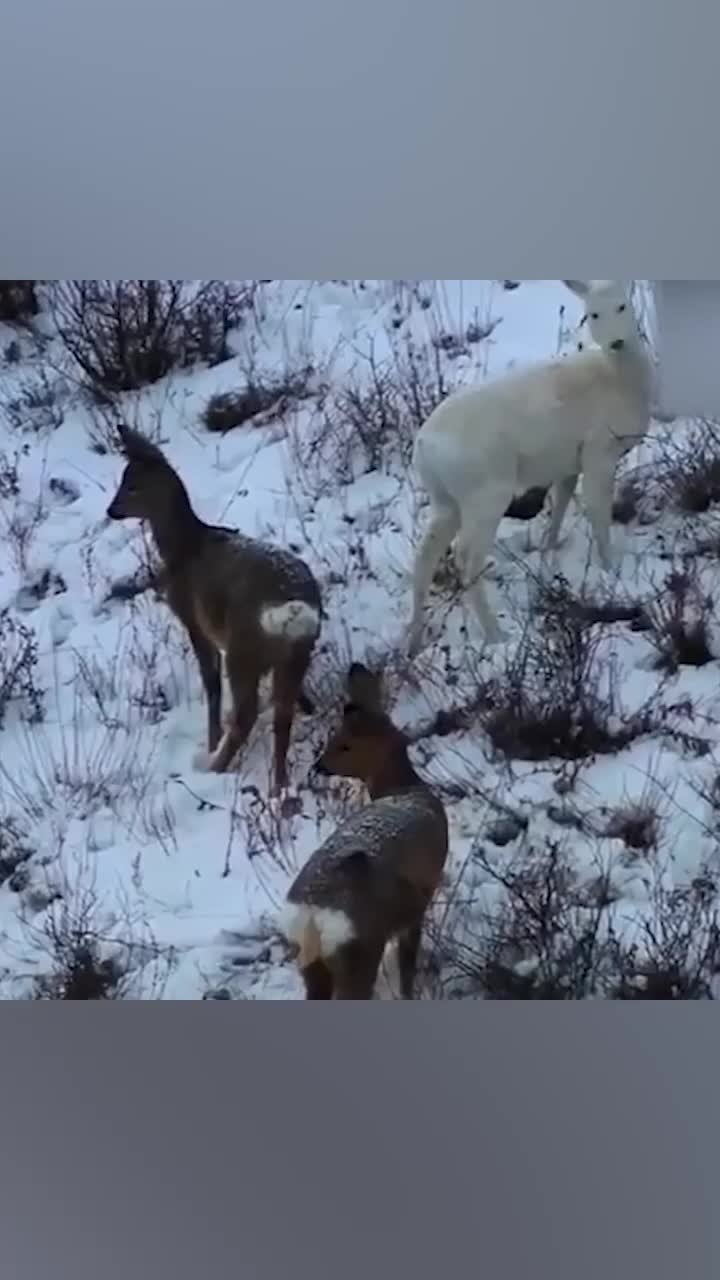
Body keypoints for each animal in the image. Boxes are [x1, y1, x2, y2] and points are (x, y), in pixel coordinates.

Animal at [105, 424, 320, 793]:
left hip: (242, 649)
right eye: (123, 477)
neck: (184, 548)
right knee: (282, 715)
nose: (111, 510)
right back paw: (278, 786)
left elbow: (211, 683)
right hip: (294, 653)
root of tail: (292, 607)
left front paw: (211, 740)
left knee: (247, 714)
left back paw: (216, 767)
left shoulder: (192, 620)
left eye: (132, 485)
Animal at [278, 660, 445, 998]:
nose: (319, 766)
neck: (405, 787)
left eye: (343, 745)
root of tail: (314, 919)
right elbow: (407, 968)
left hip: (313, 964)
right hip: (360, 950)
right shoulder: (418, 905)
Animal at [407, 284, 653, 655]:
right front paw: (611, 569)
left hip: (445, 499)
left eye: (623, 305)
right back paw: (496, 635)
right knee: (466, 557)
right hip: (486, 491)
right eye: (592, 314)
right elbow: (598, 512)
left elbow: (561, 503)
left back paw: (414, 640)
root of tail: (423, 447)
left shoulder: (568, 461)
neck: (619, 380)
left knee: (425, 556)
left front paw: (548, 549)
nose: (616, 342)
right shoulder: (598, 450)